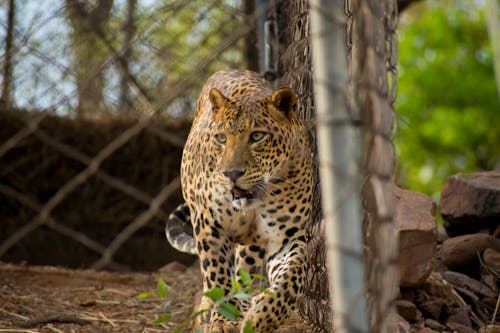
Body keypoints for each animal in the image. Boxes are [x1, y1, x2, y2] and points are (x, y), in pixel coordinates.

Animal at [165, 68, 312, 330]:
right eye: (221, 138)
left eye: (257, 136)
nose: (231, 174)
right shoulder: (209, 226)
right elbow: (217, 275)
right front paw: (224, 319)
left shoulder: (286, 237)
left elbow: (292, 278)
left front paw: (262, 316)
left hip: (252, 246)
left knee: (244, 270)